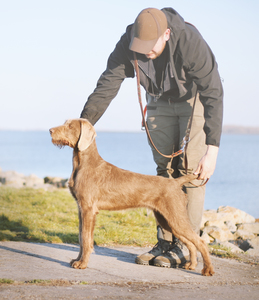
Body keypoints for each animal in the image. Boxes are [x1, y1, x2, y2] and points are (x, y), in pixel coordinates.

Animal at [49, 118, 215, 276]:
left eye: (70, 126)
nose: (50, 130)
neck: (84, 163)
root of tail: (175, 182)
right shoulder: (81, 209)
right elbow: (81, 237)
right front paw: (77, 260)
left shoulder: (88, 209)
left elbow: (85, 238)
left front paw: (82, 264)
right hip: (167, 219)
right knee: (191, 242)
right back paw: (191, 265)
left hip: (175, 216)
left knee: (200, 241)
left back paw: (207, 270)